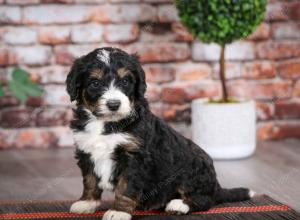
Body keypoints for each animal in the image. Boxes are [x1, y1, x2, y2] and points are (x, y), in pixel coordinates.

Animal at [65, 47, 253, 219]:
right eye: (95, 83)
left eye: (125, 81)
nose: (114, 104)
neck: (107, 124)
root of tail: (216, 186)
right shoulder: (85, 150)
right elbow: (90, 180)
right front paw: (87, 202)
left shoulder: (134, 157)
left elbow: (125, 187)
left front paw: (118, 211)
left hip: (192, 170)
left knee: (204, 200)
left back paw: (179, 205)